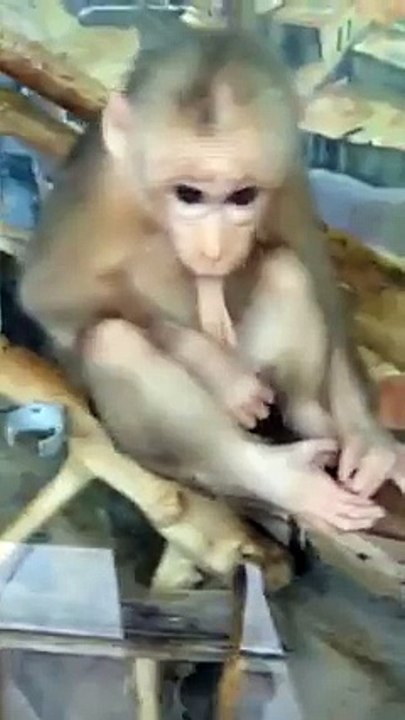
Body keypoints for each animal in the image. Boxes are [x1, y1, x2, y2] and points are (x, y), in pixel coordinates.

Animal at [19, 28, 400, 531]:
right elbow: (48, 295)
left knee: (288, 270)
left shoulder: (288, 177)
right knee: (112, 342)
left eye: (242, 196)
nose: (215, 248)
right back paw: (274, 475)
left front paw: (368, 438)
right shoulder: (99, 192)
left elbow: (316, 271)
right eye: (188, 193)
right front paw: (210, 365)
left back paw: (310, 417)